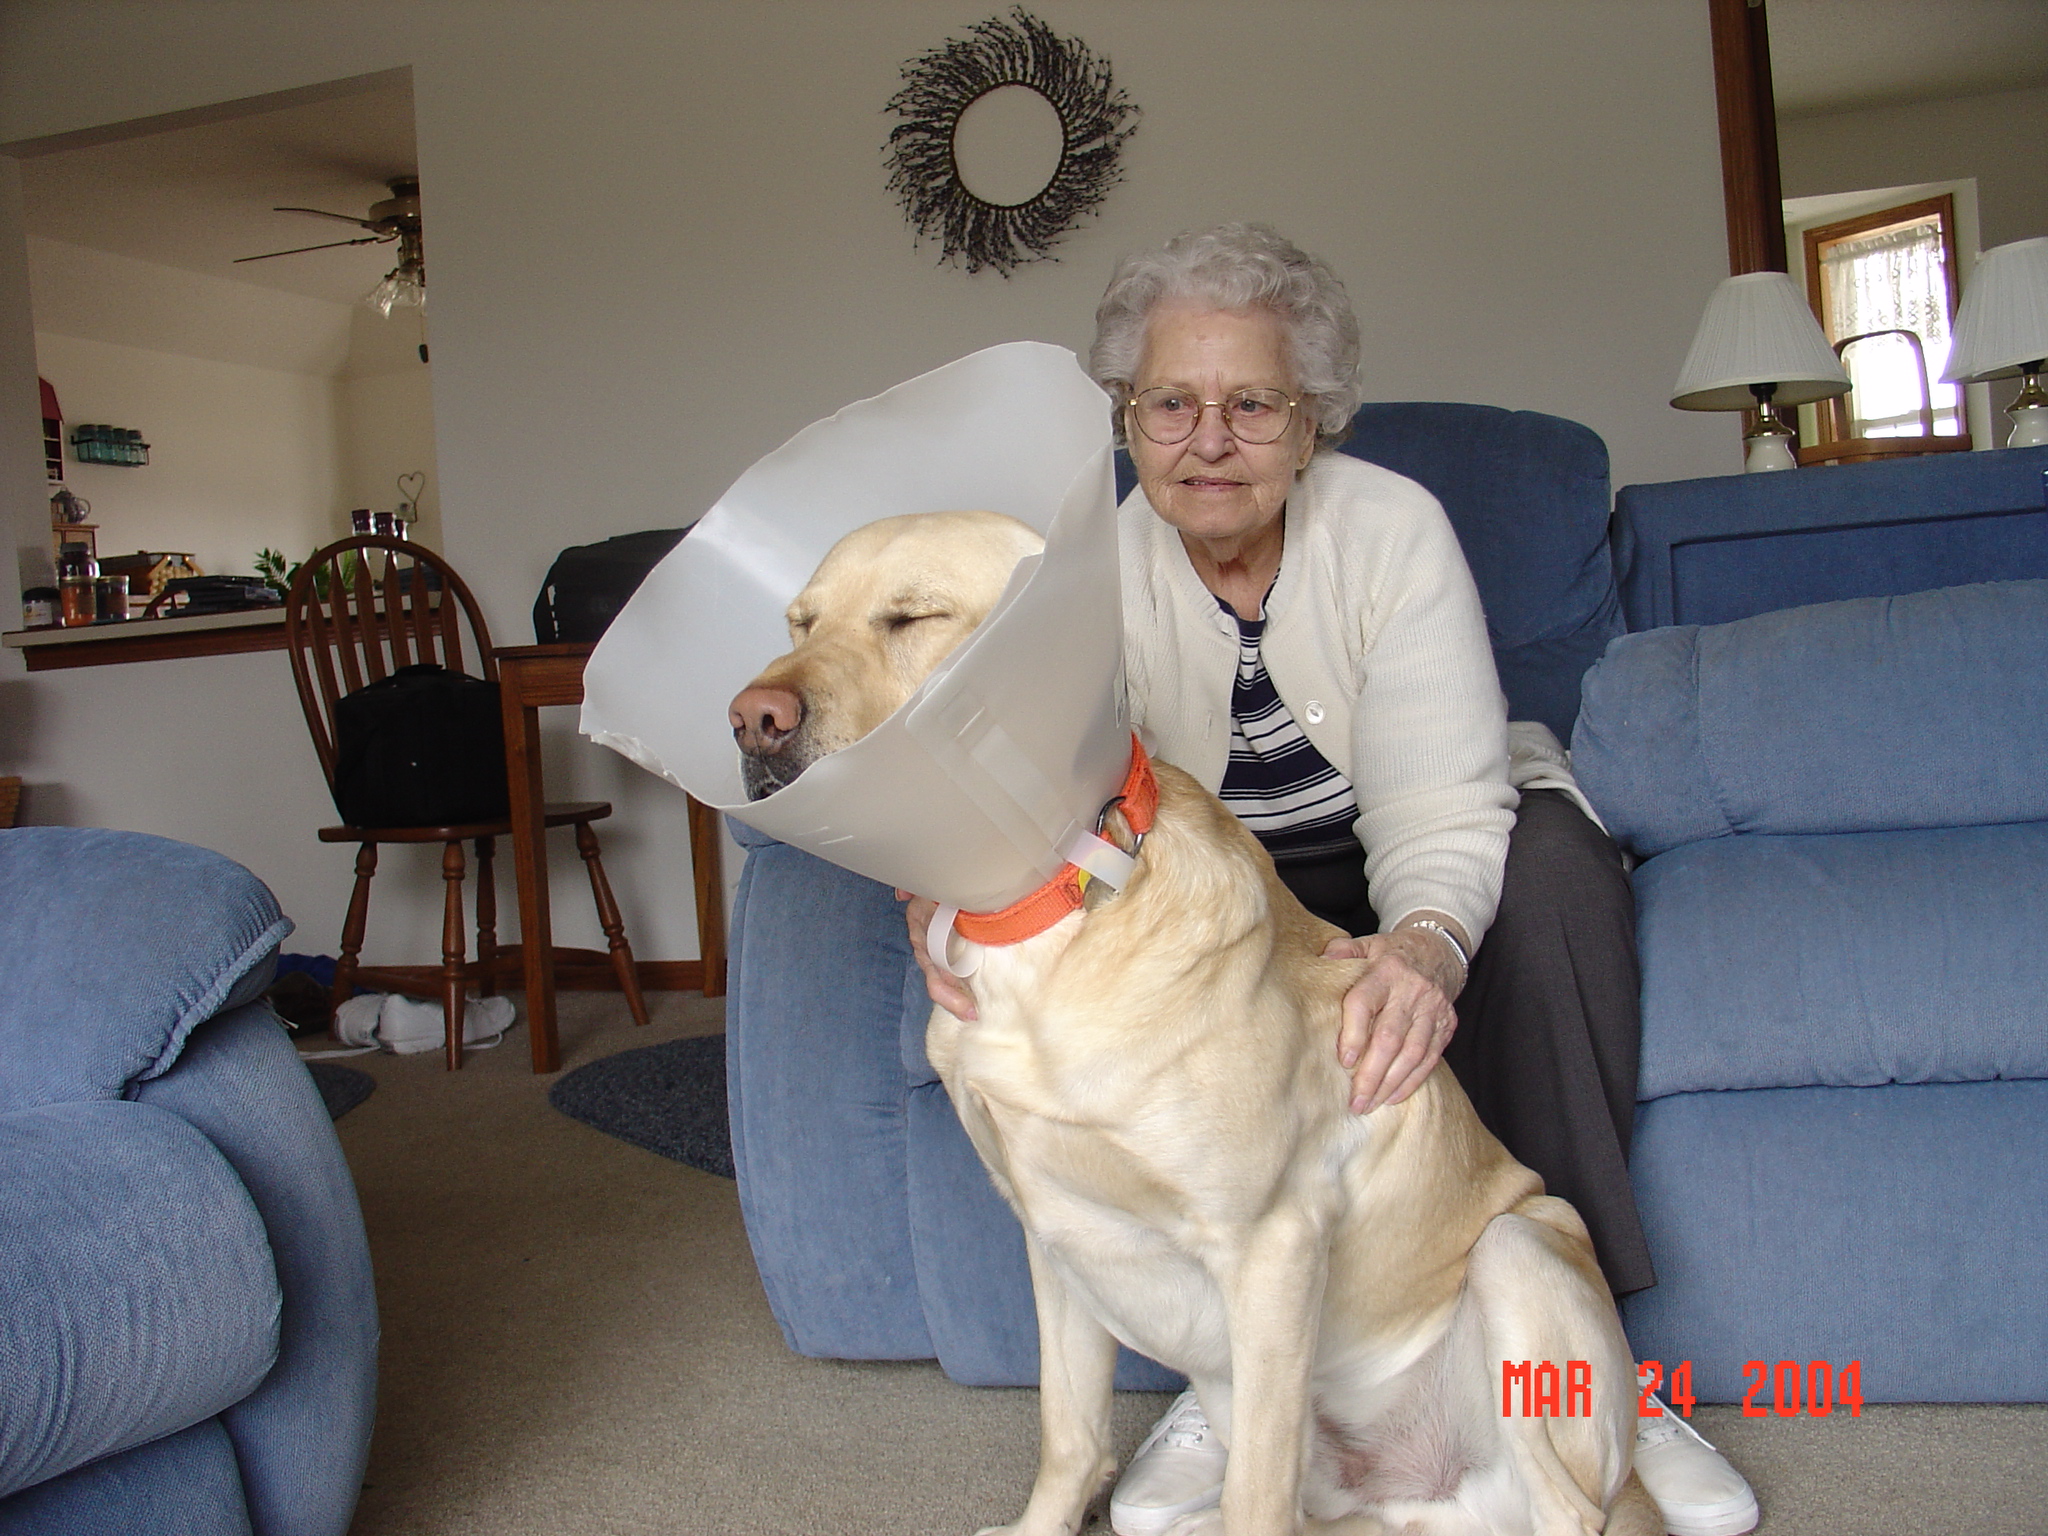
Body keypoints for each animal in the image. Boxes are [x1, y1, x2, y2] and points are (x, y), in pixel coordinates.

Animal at [730, 510, 1657, 1536]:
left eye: (913, 616)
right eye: (800, 622)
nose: (751, 716)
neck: (1058, 901)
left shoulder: (1272, 1246)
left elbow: (1255, 1492)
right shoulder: (1054, 1236)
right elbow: (1069, 1433)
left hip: (1519, 1249)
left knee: (1567, 1508)